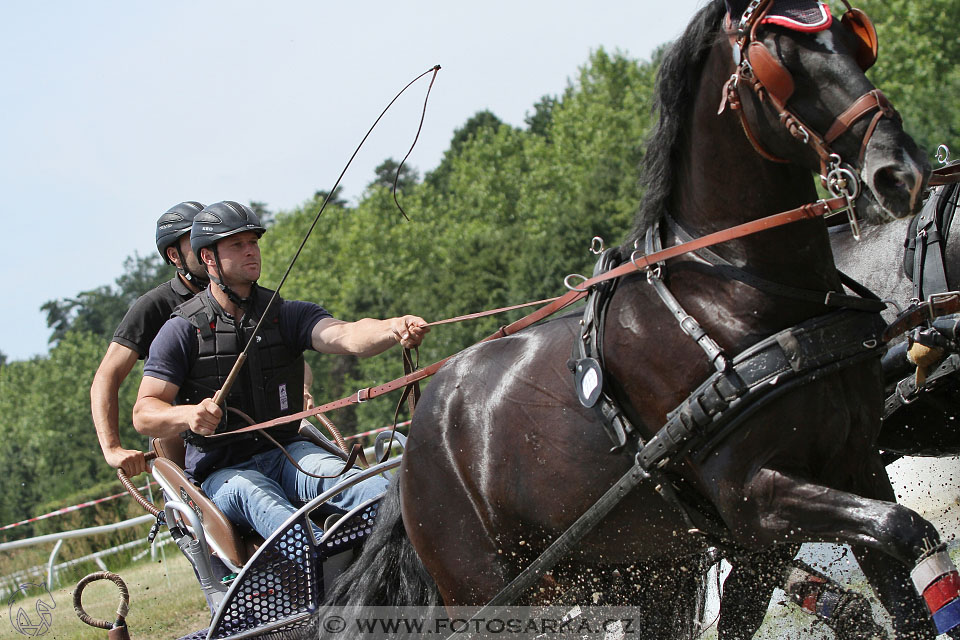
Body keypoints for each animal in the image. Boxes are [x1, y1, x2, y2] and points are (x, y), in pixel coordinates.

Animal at [322, 2, 936, 636]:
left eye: (854, 39)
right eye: (780, 59)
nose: (900, 170)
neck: (734, 293)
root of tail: (412, 443)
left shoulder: (853, 466)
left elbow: (902, 567)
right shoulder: (752, 499)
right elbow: (905, 528)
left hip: (629, 563)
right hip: (492, 589)